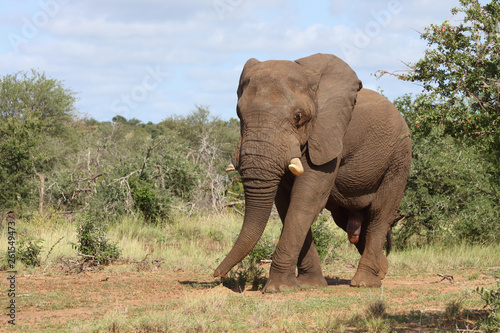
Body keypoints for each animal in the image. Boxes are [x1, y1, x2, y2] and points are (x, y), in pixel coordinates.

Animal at [213, 52, 412, 290]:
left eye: (298, 116)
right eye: (239, 114)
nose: (217, 275)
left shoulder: (330, 134)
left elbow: (306, 198)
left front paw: (278, 288)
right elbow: (286, 203)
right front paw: (310, 285)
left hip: (399, 160)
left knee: (380, 215)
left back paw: (365, 283)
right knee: (348, 222)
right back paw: (381, 271)